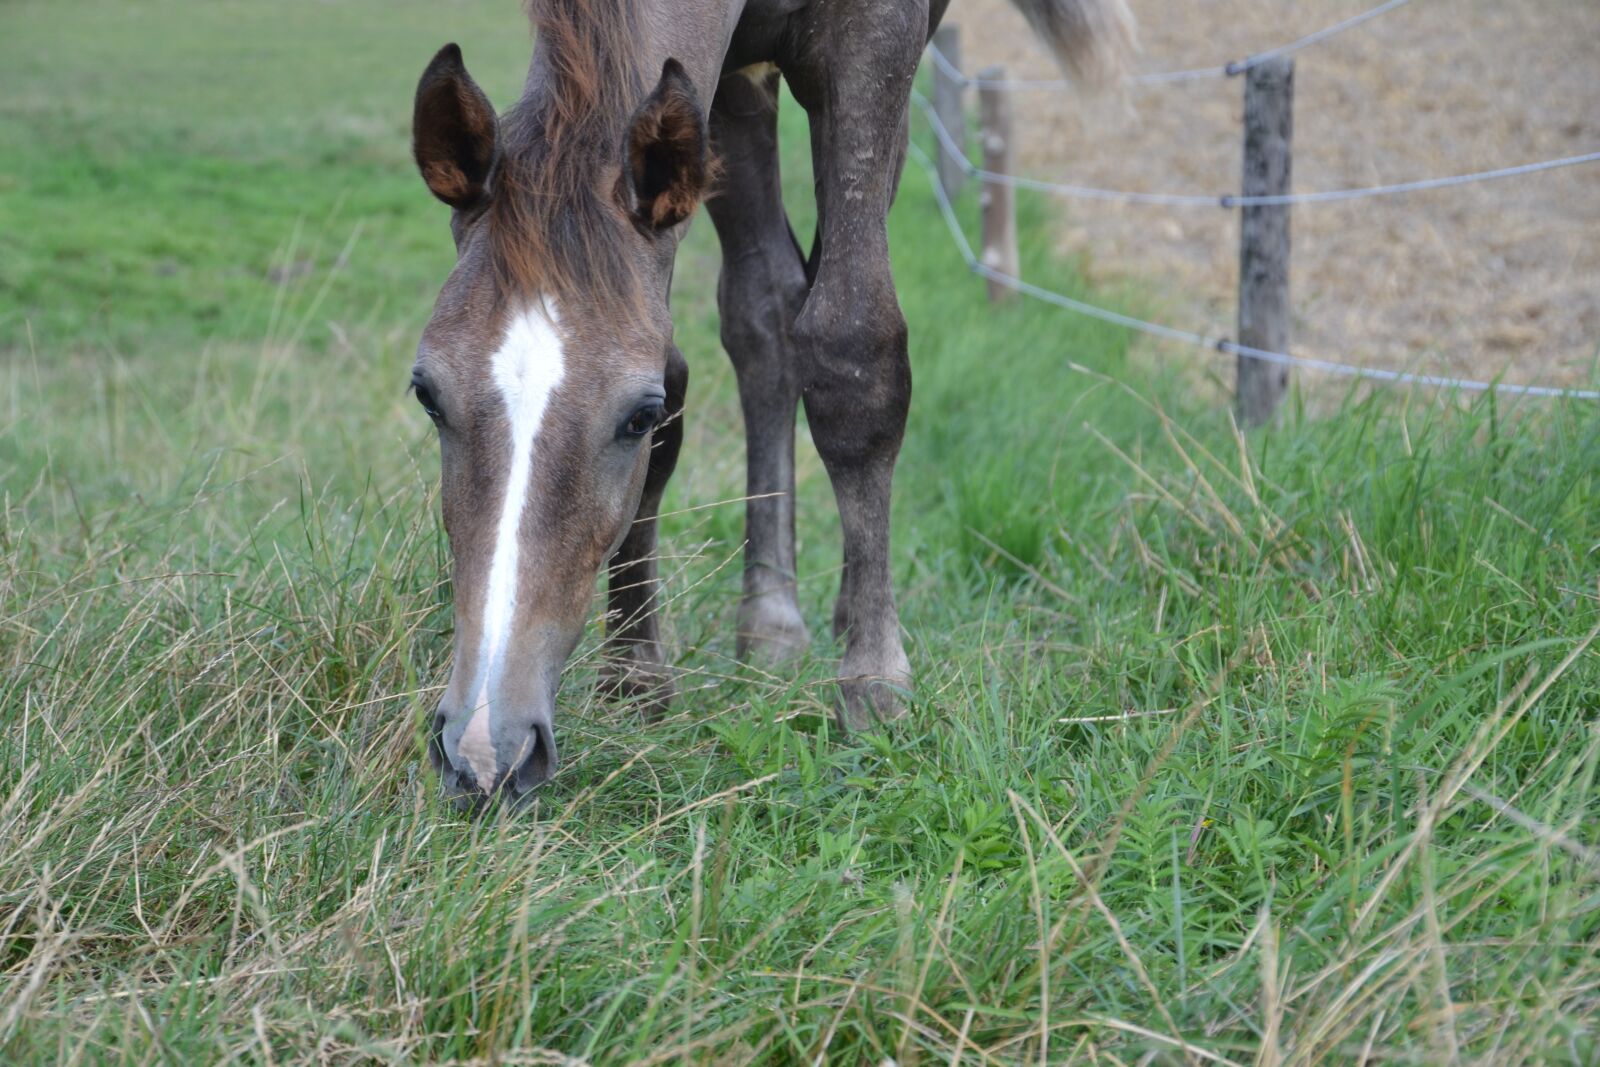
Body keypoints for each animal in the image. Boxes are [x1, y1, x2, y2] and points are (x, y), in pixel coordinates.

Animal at [409, 0, 1133, 802]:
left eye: (636, 417)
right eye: (427, 393)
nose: (482, 749)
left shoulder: (877, 40)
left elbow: (855, 352)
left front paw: (875, 687)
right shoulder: (718, 86)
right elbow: (723, 340)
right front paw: (634, 673)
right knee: (771, 312)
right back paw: (770, 625)